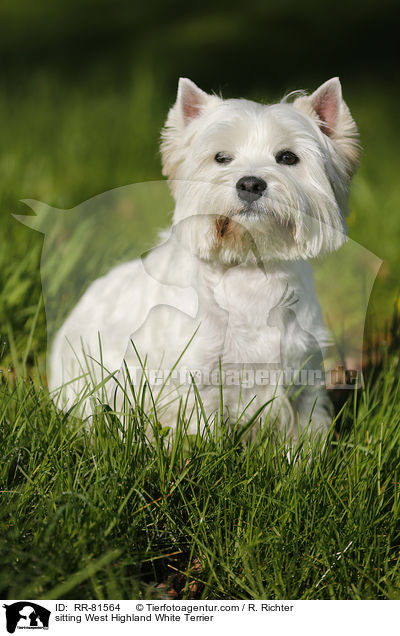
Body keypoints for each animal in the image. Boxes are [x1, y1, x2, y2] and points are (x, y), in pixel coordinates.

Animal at [49, 78, 360, 438]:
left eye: (288, 157)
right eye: (221, 157)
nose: (250, 183)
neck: (249, 272)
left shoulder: (302, 375)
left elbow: (306, 434)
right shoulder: (195, 379)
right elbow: (199, 431)